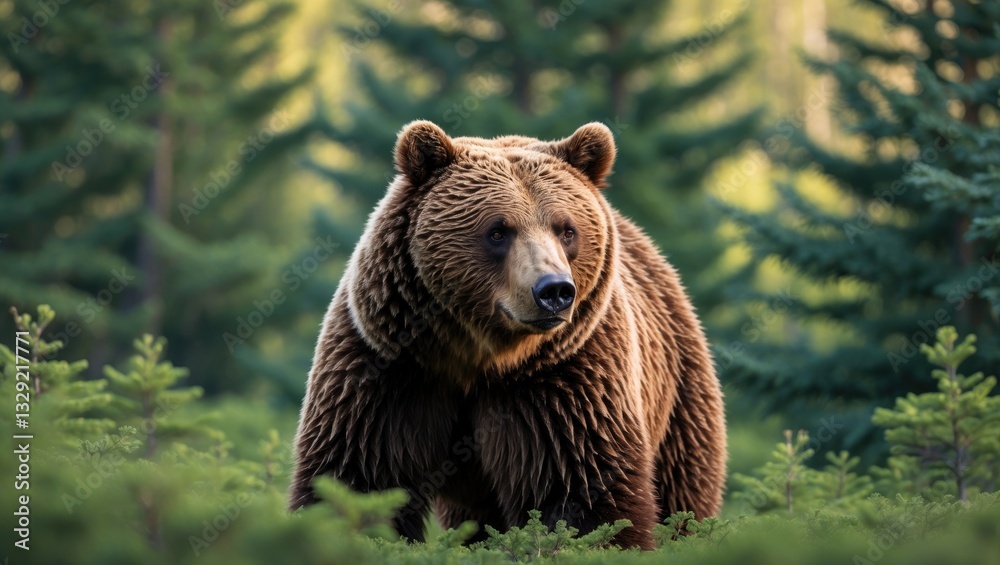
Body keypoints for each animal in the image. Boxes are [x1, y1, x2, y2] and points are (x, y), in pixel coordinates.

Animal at [288, 120, 726, 549]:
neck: (479, 356)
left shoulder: (563, 380)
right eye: (498, 231)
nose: (554, 290)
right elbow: (358, 478)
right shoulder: (390, 370)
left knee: (682, 492)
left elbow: (581, 493)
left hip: (677, 394)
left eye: (566, 230)